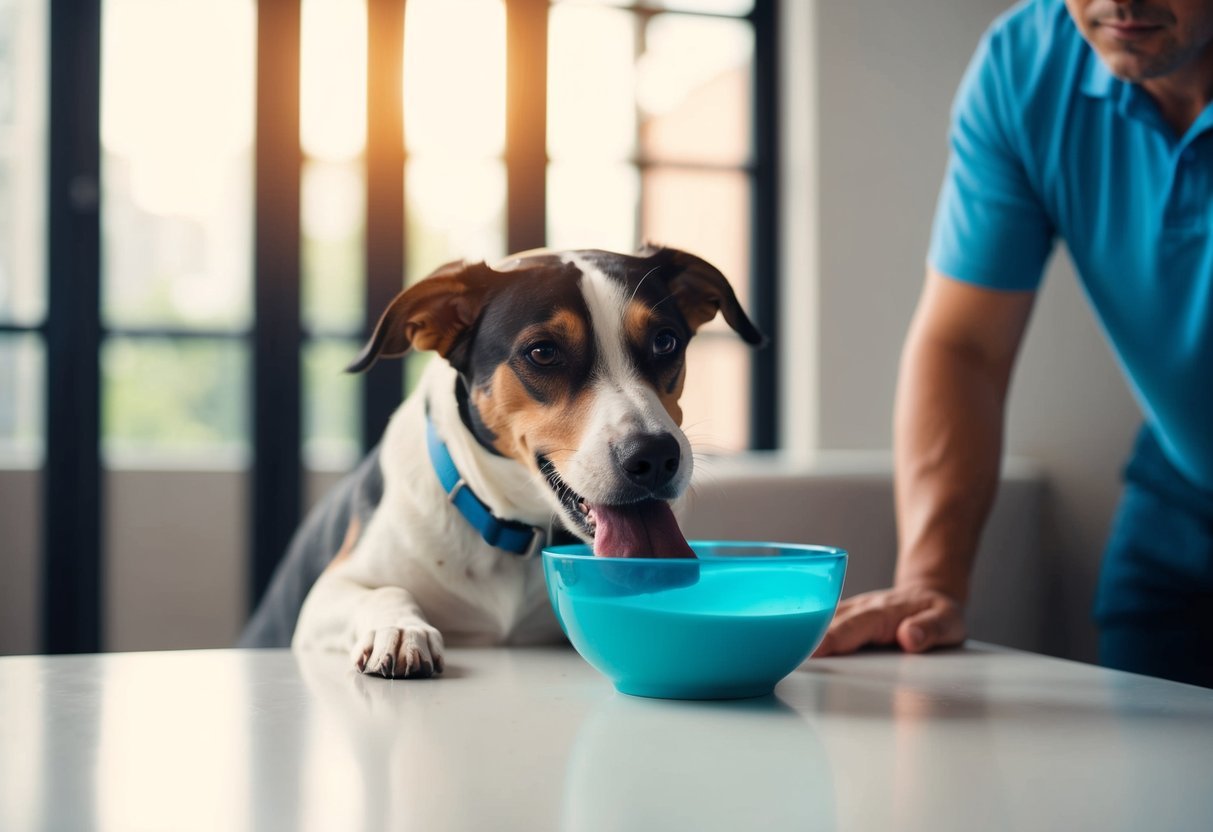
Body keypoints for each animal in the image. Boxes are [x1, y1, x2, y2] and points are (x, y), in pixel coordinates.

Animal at [237, 246, 761, 679]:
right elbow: (383, 590)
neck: (511, 532)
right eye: (543, 352)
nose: (654, 456)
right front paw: (402, 629)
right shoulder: (322, 601)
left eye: (666, 341)